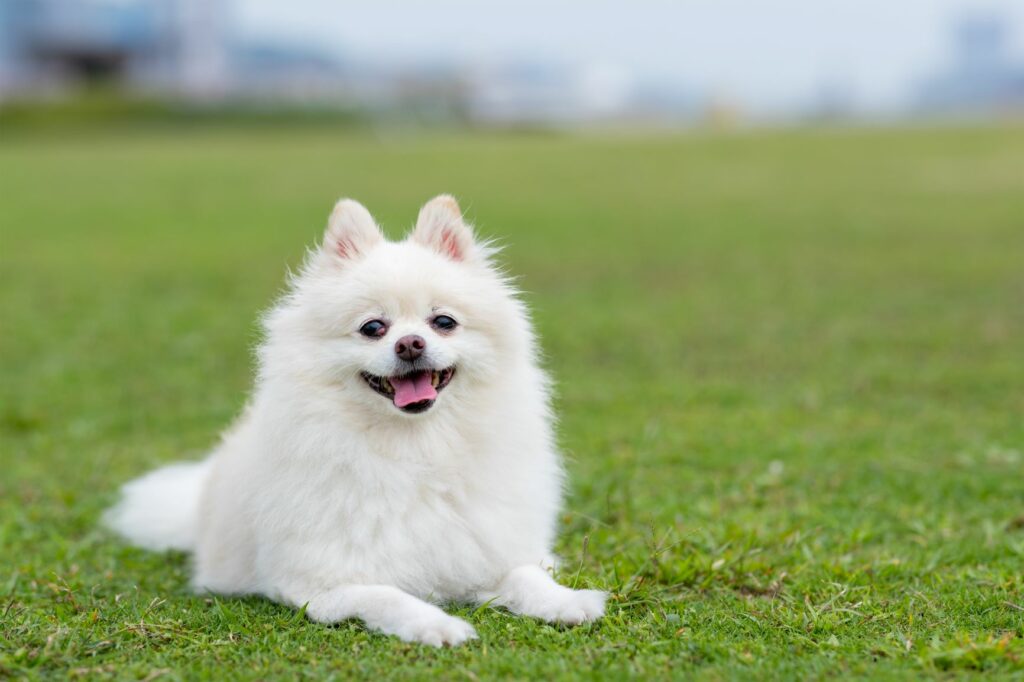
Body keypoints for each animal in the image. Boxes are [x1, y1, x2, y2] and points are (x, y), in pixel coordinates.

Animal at [105, 195, 598, 643]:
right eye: (373, 328)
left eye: (443, 322)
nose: (410, 344)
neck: (415, 447)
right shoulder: (320, 585)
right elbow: (387, 595)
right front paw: (437, 625)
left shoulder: (483, 551)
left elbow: (524, 574)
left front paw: (566, 601)